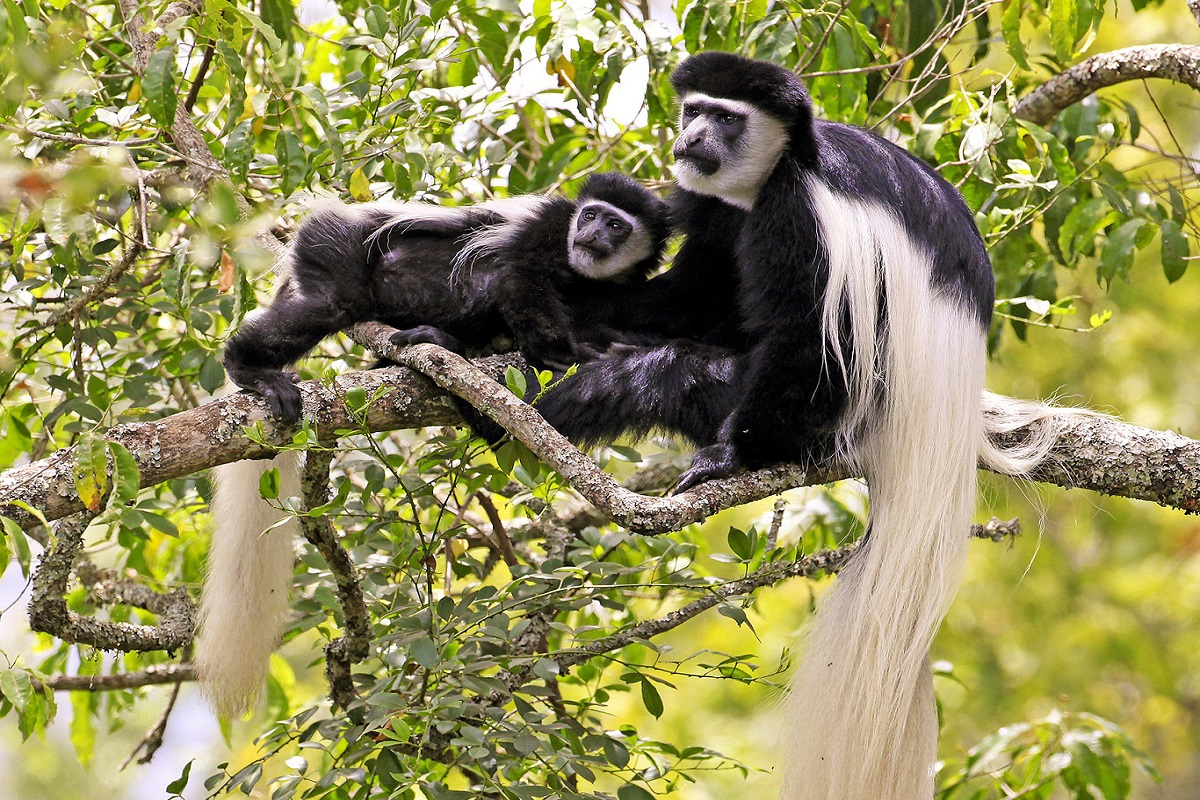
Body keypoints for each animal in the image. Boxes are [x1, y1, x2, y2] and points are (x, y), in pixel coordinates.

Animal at [222, 175, 672, 424]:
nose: (591, 236)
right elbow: (521, 274)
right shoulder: (551, 223)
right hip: (335, 241)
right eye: (590, 216)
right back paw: (250, 370)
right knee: (333, 303)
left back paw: (441, 341)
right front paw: (567, 354)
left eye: (615, 225)